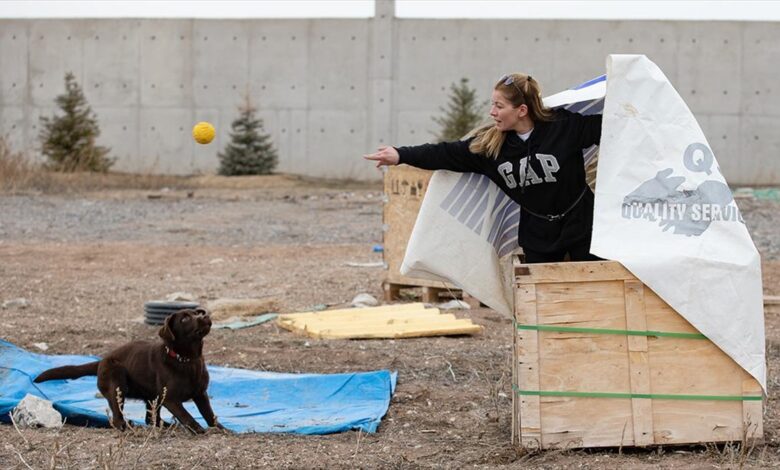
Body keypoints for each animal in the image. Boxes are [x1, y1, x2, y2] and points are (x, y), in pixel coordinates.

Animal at [35, 308, 224, 434]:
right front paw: (199, 430)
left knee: (151, 419)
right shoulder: (171, 399)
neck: (186, 359)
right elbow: (187, 416)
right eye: (184, 319)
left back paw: (166, 426)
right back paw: (128, 427)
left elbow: (209, 414)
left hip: (151, 396)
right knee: (118, 417)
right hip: (117, 380)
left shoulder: (200, 394)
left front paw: (222, 429)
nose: (204, 315)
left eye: (197, 313)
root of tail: (101, 361)